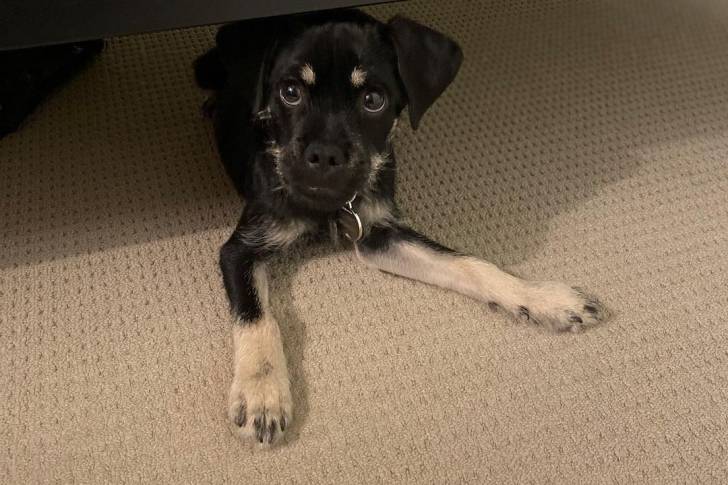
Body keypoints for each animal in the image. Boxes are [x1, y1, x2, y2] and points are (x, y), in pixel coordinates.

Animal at [195, 9, 608, 444]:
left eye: (373, 101)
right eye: (289, 92)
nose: (324, 155)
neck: (328, 205)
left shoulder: (378, 233)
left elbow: (469, 264)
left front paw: (544, 297)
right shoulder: (242, 248)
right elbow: (258, 316)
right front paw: (262, 393)